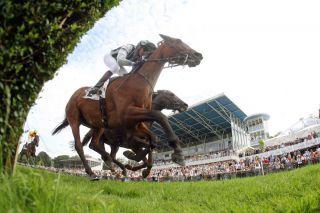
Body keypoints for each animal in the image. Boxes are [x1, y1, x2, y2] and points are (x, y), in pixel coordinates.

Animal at [52, 34, 202, 178]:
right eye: (178, 41)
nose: (198, 55)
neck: (140, 81)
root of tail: (75, 95)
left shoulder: (137, 123)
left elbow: (153, 140)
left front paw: (137, 163)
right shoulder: (126, 115)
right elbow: (160, 117)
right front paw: (178, 153)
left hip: (98, 126)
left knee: (95, 145)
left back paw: (112, 164)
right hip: (74, 119)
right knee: (79, 145)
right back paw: (92, 172)